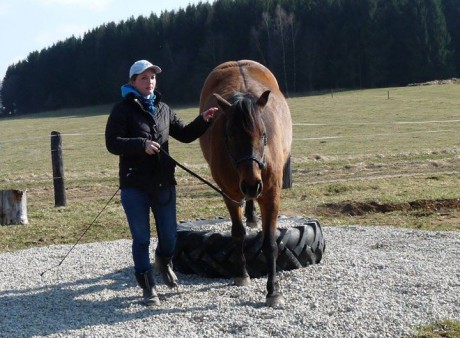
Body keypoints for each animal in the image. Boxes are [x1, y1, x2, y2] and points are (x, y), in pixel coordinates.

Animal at [198, 59, 292, 308]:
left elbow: (270, 244)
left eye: (263, 134)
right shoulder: (229, 193)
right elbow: (238, 233)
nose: (251, 185)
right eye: (230, 135)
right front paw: (242, 274)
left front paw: (273, 290)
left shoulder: (271, 194)